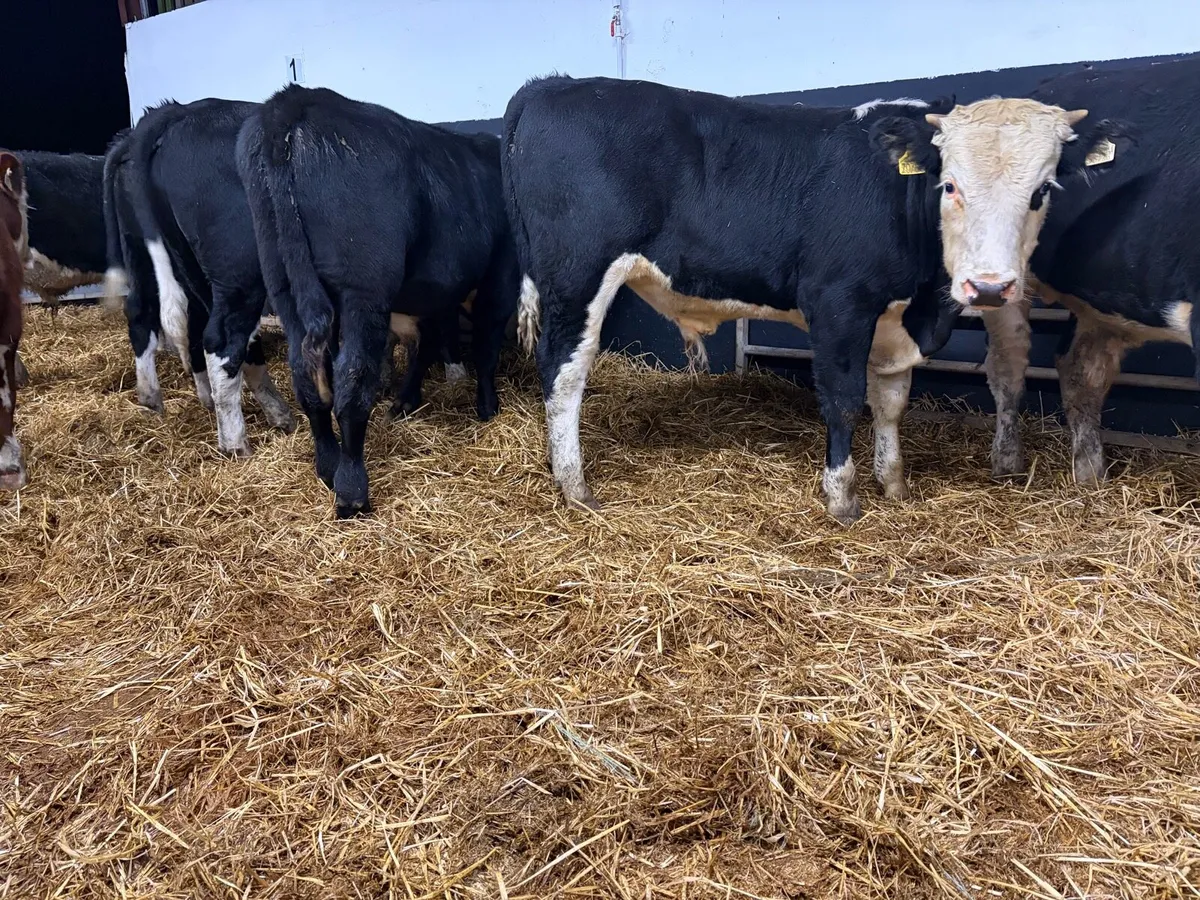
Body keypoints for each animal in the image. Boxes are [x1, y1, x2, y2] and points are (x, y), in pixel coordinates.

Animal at [102, 99, 296, 455]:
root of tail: (180, 112)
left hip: (153, 254)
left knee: (147, 312)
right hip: (238, 267)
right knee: (222, 339)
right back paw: (236, 443)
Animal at [237, 84, 519, 518]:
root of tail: (295, 100)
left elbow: (427, 345)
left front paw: (407, 401)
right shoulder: (498, 277)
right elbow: (485, 348)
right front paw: (488, 407)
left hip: (283, 283)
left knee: (307, 376)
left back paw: (328, 467)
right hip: (362, 290)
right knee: (352, 381)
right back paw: (352, 490)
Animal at [504, 75, 975, 524]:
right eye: (950, 184)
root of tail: (552, 84)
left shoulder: (892, 324)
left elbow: (892, 404)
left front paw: (894, 485)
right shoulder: (839, 303)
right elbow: (844, 400)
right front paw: (843, 499)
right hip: (578, 274)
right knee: (563, 368)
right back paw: (575, 487)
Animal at [892, 61, 1183, 487]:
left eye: (1043, 190)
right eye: (949, 185)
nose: (988, 287)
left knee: (1082, 369)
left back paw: (1090, 477)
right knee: (1013, 366)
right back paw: (1009, 464)